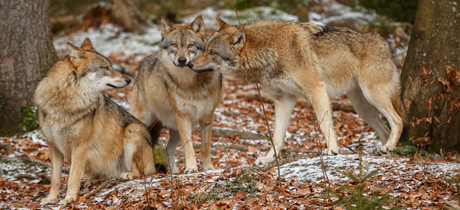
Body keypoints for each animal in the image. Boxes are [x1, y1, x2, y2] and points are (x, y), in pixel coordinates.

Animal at [33, 38, 156, 205]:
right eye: (106, 68)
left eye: (111, 66)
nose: (129, 79)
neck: (66, 101)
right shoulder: (54, 147)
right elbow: (55, 179)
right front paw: (51, 199)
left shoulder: (80, 146)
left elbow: (72, 177)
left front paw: (69, 199)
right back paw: (93, 180)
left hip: (133, 130)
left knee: (144, 173)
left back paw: (128, 174)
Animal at [129, 15, 223, 174]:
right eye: (174, 45)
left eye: (190, 45)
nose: (182, 60)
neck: (191, 84)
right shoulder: (183, 117)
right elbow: (189, 146)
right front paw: (191, 168)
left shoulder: (208, 117)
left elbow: (205, 146)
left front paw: (208, 167)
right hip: (142, 122)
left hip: (174, 129)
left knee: (167, 151)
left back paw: (173, 173)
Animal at [189, 18, 408, 165]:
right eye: (204, 48)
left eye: (212, 52)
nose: (189, 64)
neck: (271, 52)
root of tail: (386, 43)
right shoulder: (283, 100)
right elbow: (277, 137)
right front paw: (269, 159)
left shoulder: (316, 90)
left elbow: (324, 125)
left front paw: (332, 150)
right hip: (362, 108)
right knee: (384, 129)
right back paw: (385, 150)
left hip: (373, 96)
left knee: (398, 120)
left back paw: (389, 146)